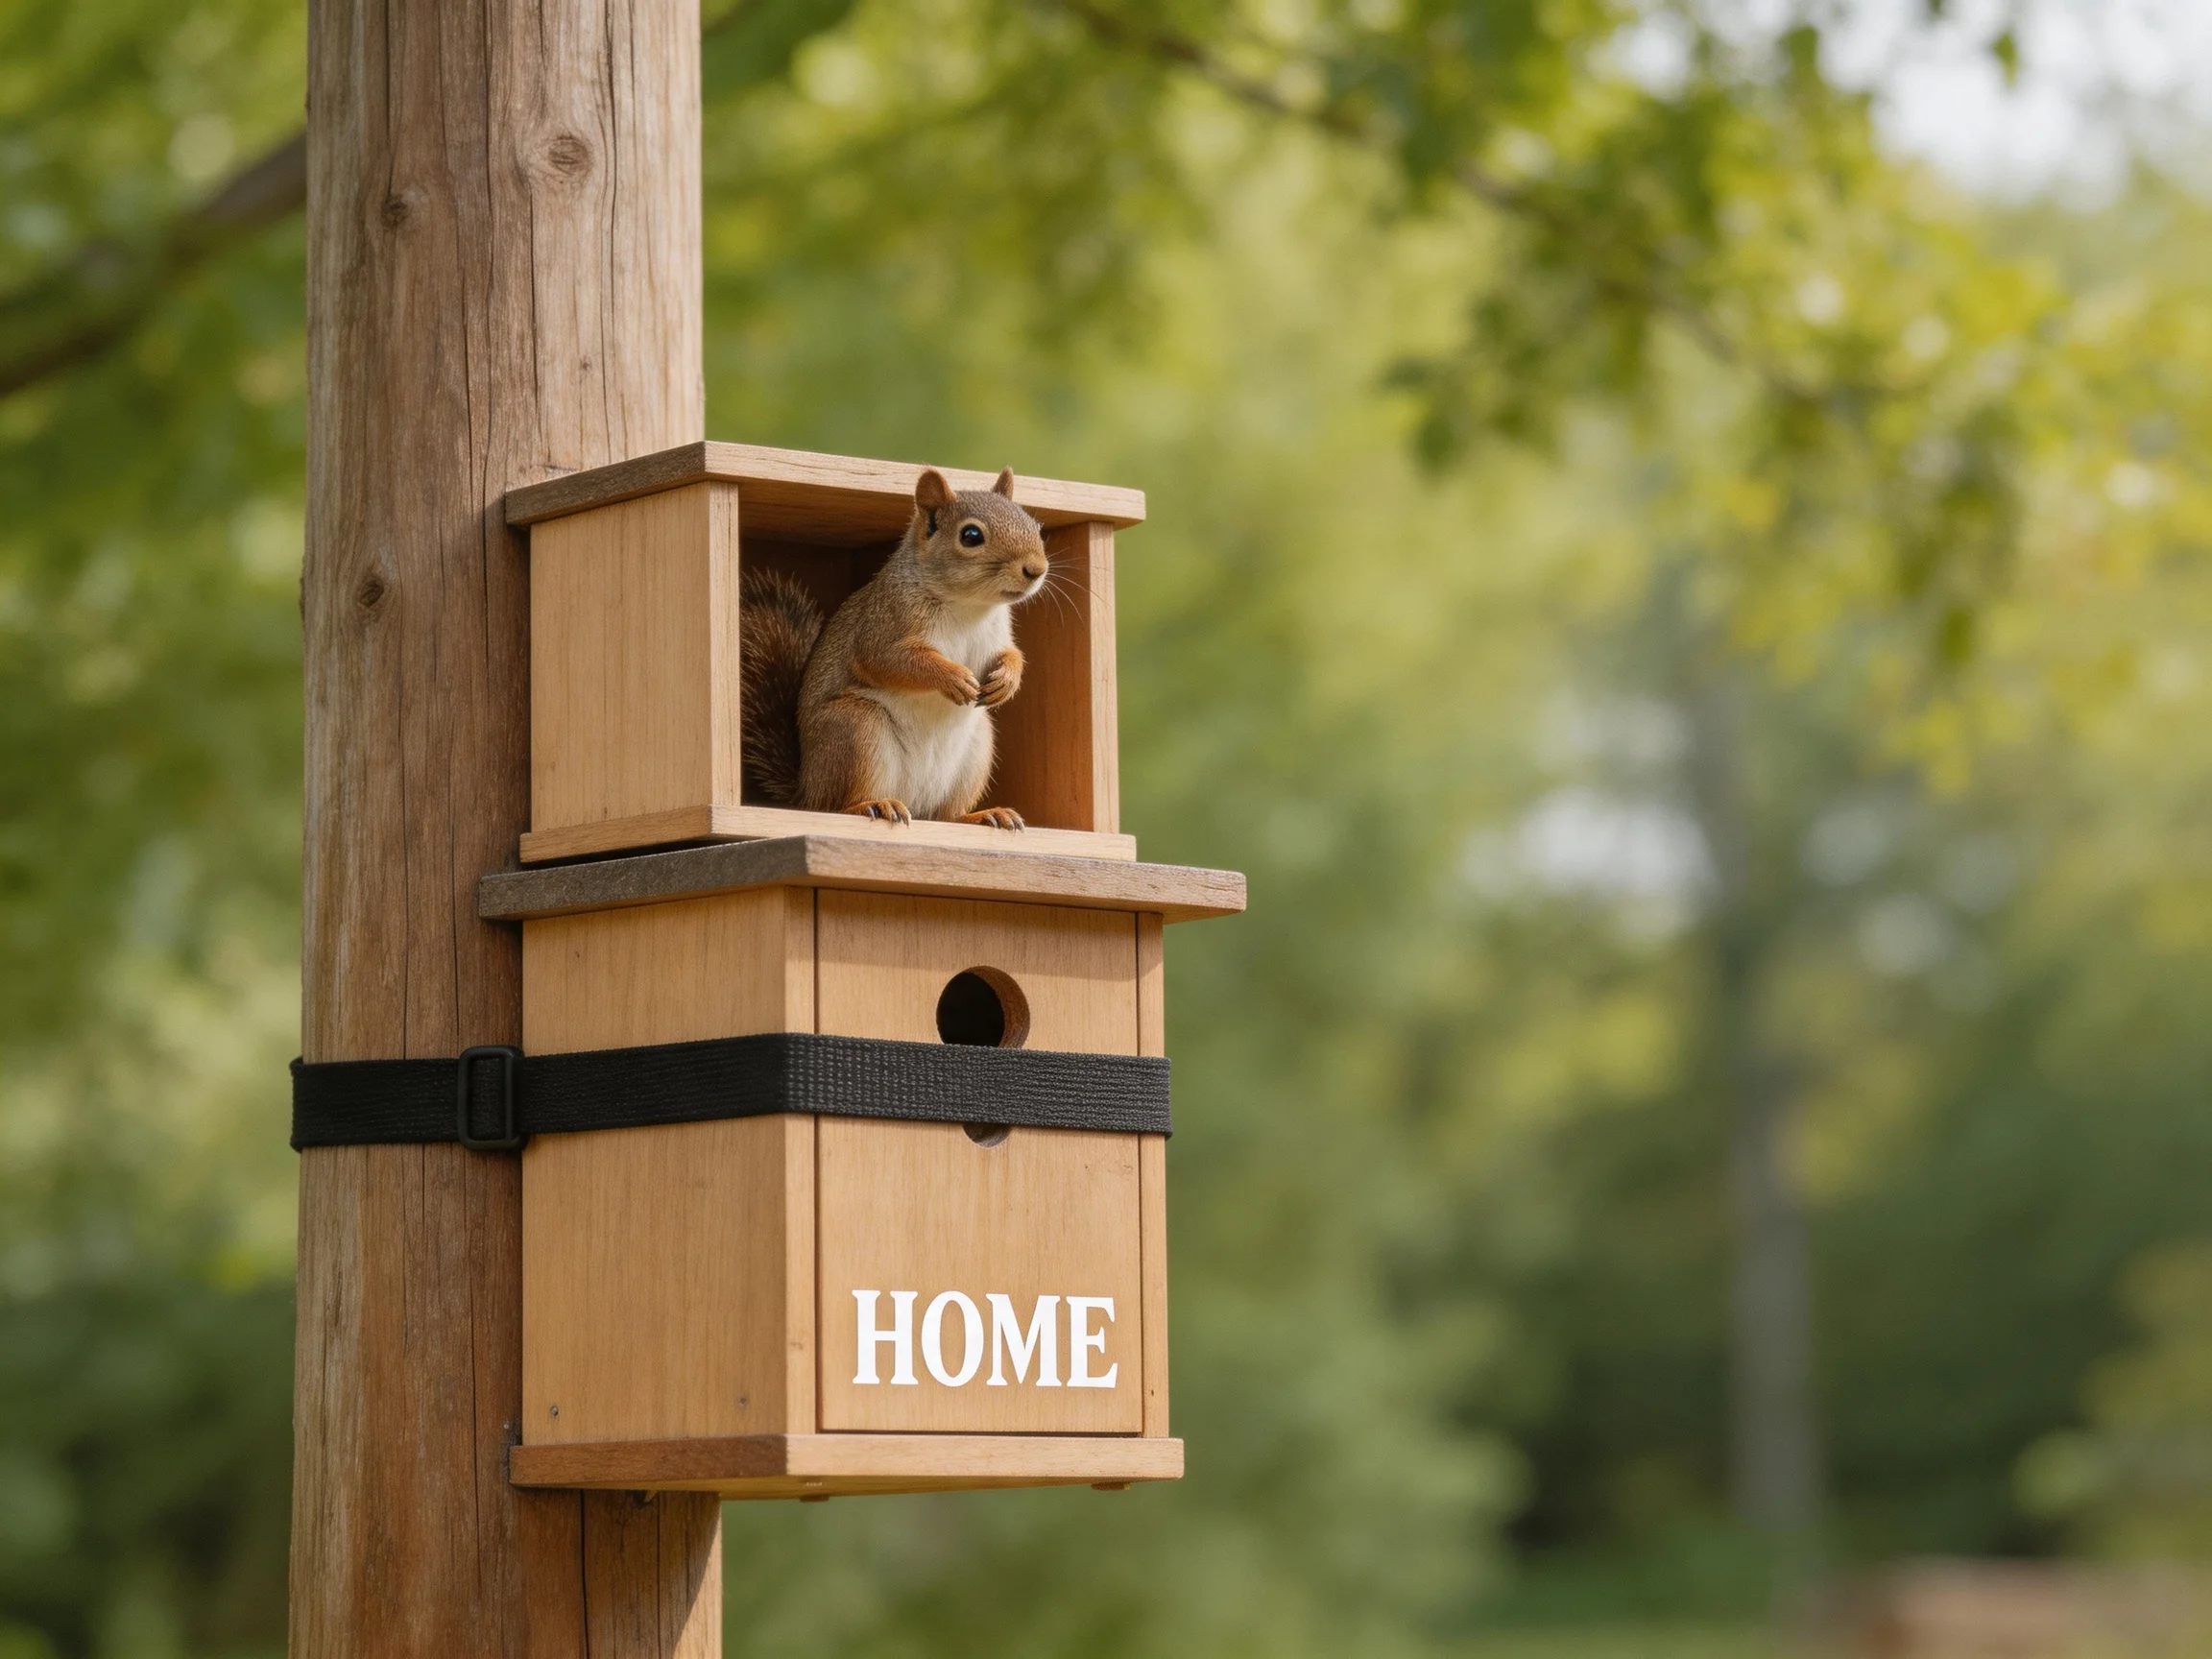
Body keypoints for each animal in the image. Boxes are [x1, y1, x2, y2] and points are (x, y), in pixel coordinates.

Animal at [739, 466, 1046, 829]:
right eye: (971, 535)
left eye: (1035, 526)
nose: (1036, 570)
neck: (969, 606)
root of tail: (807, 791)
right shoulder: (883, 626)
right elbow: (892, 661)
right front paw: (953, 677)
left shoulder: (998, 636)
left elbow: (1012, 654)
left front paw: (1007, 680)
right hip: (857, 729)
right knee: (839, 805)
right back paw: (873, 805)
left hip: (976, 749)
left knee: (947, 815)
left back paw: (982, 815)